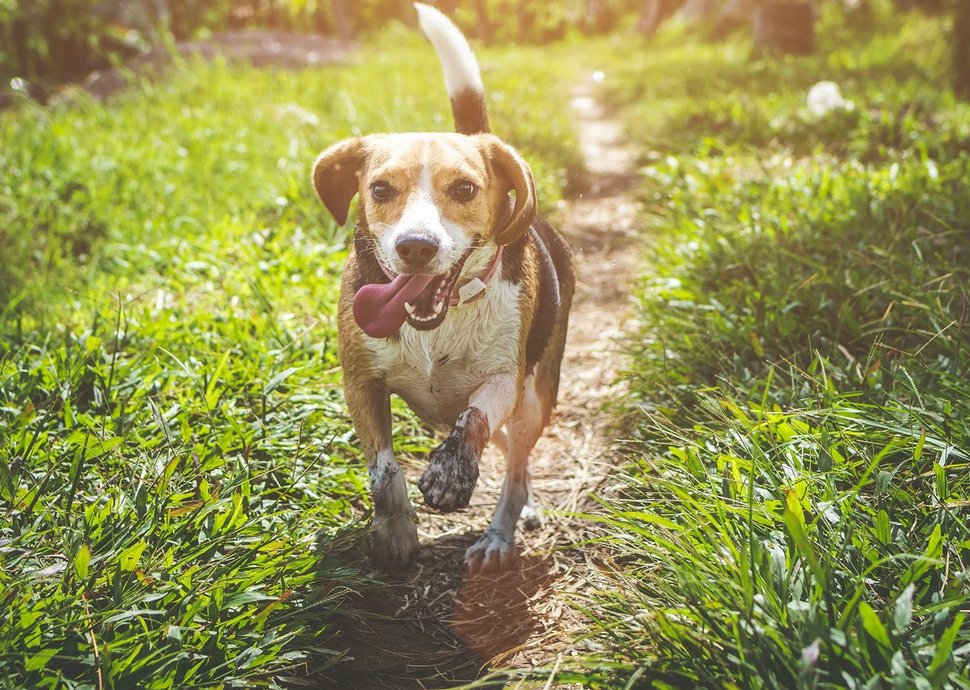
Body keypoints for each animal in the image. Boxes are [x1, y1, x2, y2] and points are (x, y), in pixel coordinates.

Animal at [310, 1, 572, 568]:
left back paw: (499, 534)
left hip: (535, 398)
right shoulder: (360, 383)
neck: (439, 323)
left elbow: (474, 419)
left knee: (514, 467)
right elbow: (384, 469)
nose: (416, 247)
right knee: (511, 458)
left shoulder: (503, 380)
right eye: (380, 189)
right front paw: (396, 532)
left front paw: (451, 474)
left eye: (466, 189)